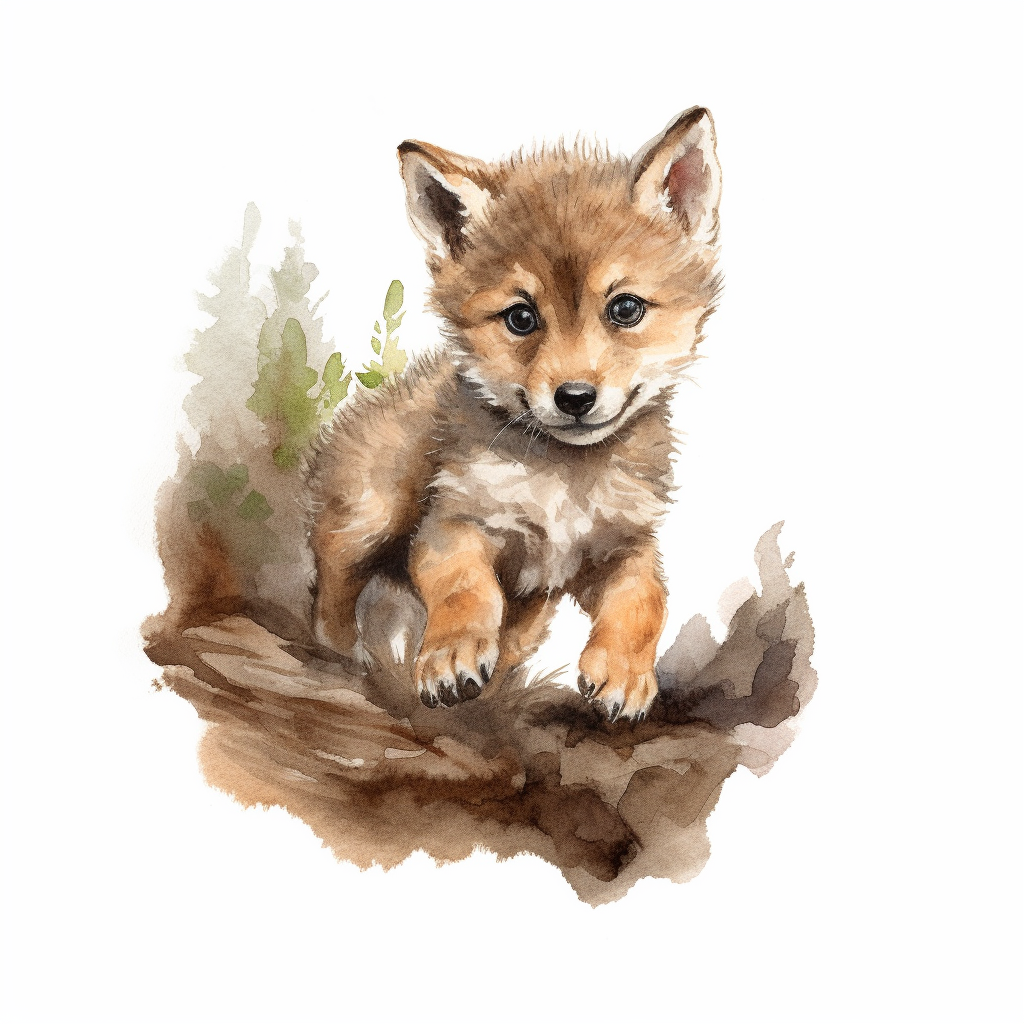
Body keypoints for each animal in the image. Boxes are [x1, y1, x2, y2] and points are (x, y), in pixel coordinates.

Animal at [306, 107, 722, 723]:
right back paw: (343, 656)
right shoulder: (452, 525)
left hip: (532, 607)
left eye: (625, 309)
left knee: (510, 644)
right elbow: (465, 592)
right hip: (369, 515)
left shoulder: (620, 545)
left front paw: (623, 673)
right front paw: (451, 655)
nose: (575, 397)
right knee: (331, 588)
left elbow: (647, 599)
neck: (564, 482)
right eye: (521, 318)